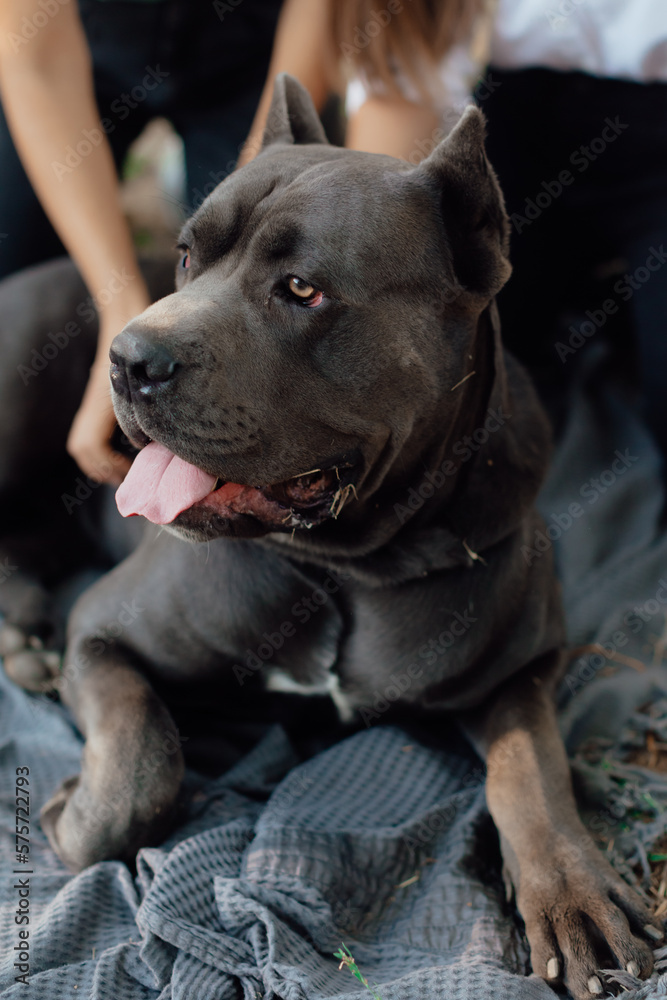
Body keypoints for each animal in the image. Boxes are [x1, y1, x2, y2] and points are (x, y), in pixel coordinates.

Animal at [0, 74, 664, 996]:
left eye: (302, 289)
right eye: (186, 255)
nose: (131, 357)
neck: (350, 565)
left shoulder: (521, 670)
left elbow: (529, 771)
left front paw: (571, 894)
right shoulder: (103, 628)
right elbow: (141, 761)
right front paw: (72, 814)